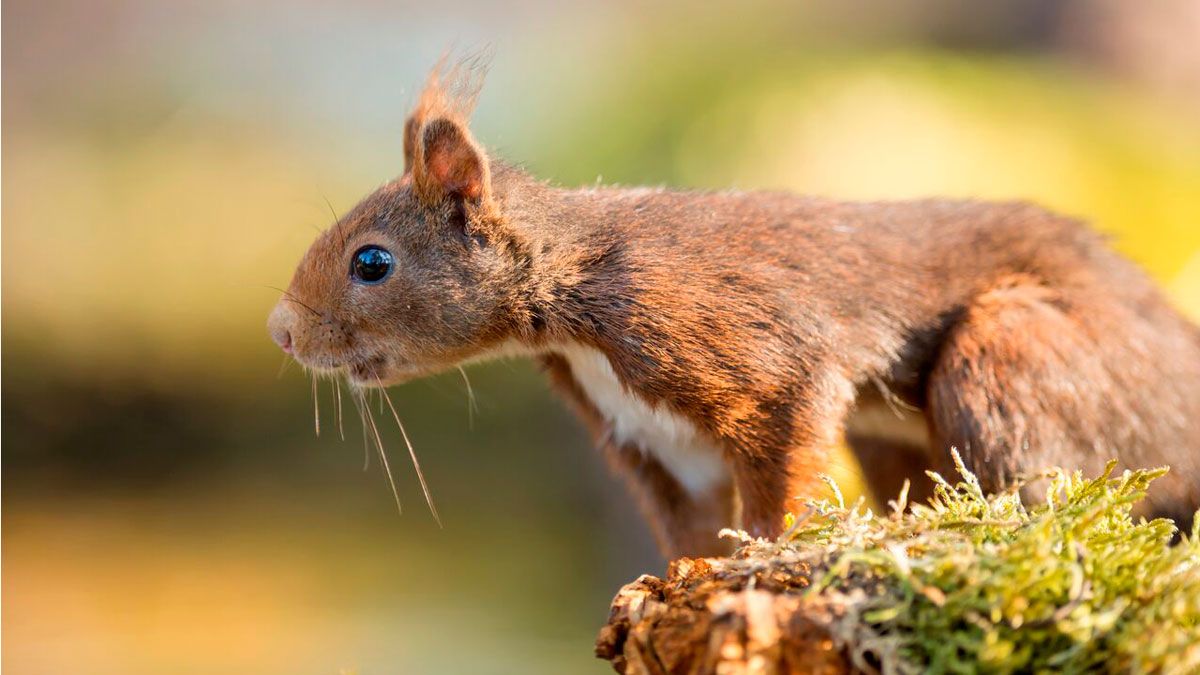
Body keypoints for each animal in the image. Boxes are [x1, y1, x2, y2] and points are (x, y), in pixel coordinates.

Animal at [270, 64, 1200, 557]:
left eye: (372, 262)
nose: (281, 331)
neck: (569, 297)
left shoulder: (737, 344)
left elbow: (779, 461)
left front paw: (767, 552)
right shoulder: (649, 436)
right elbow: (689, 523)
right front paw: (682, 576)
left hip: (1016, 350)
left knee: (1046, 489)